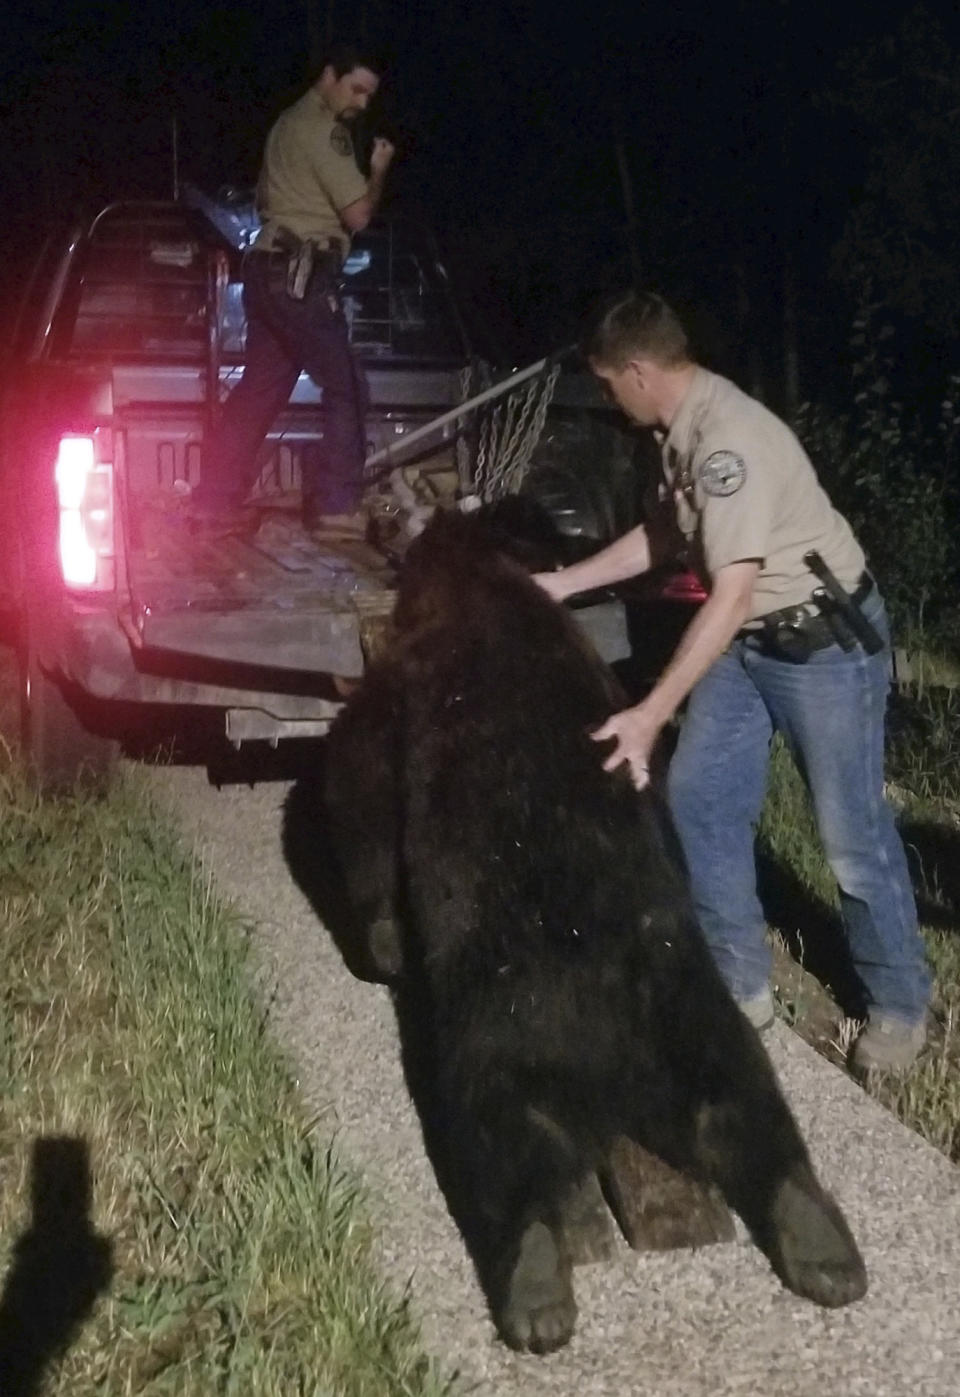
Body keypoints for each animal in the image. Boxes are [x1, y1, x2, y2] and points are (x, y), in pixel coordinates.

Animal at [318, 502, 866, 1352]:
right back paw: (822, 1245)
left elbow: (358, 785)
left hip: (495, 1037)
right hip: (690, 1009)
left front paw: (379, 941)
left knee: (503, 1152)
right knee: (750, 1106)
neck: (480, 583)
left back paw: (535, 1290)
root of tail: (612, 1079)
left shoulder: (402, 688)